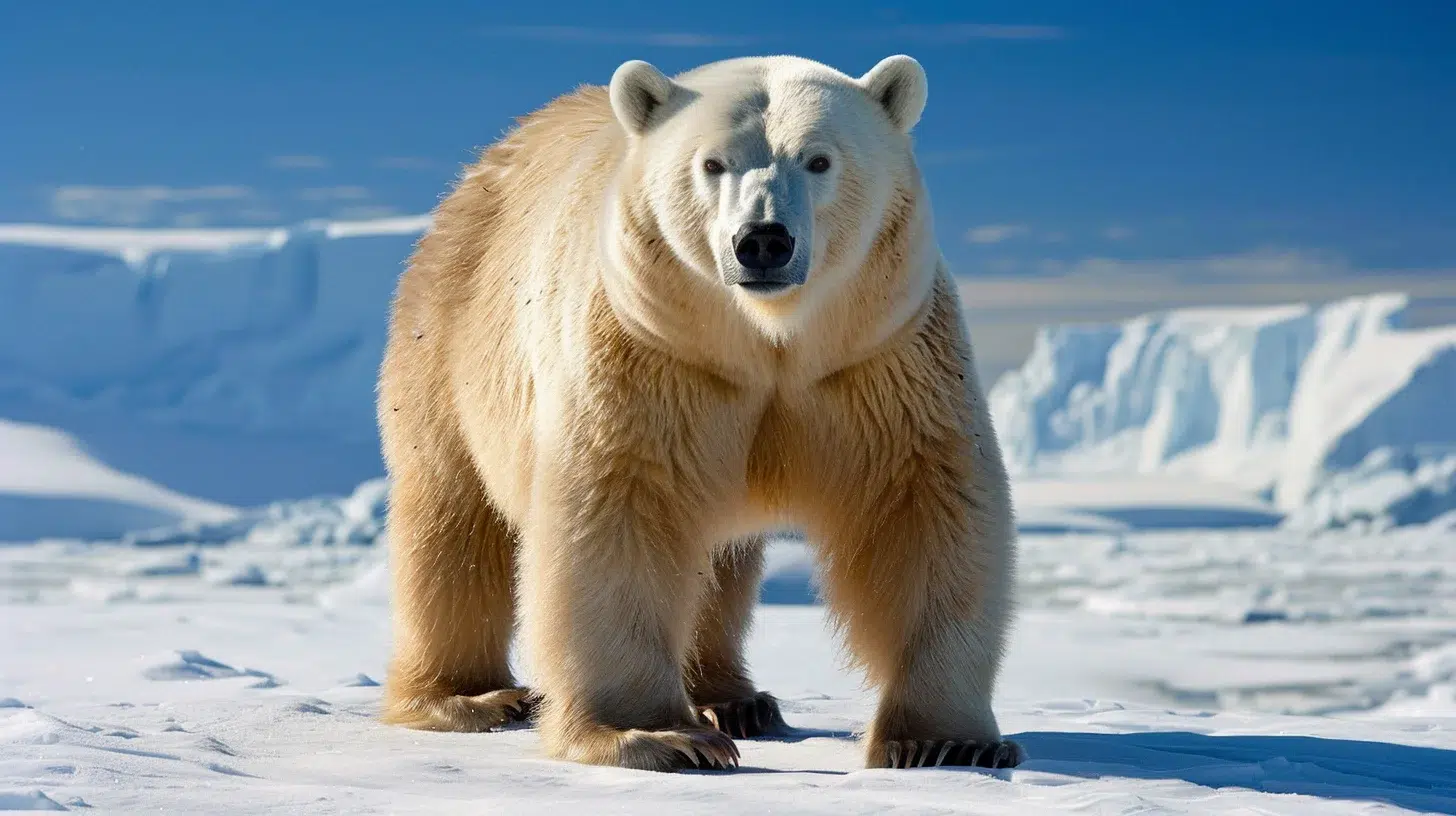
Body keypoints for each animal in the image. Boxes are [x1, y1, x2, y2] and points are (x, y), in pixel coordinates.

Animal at [376, 53, 1022, 773]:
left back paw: (737, 700)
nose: (763, 240)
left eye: (819, 159)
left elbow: (920, 503)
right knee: (452, 520)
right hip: (448, 337)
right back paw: (469, 698)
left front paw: (944, 740)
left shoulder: (881, 359)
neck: (766, 338)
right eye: (713, 163)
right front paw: (657, 736)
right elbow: (622, 507)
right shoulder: (651, 354)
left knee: (719, 563)